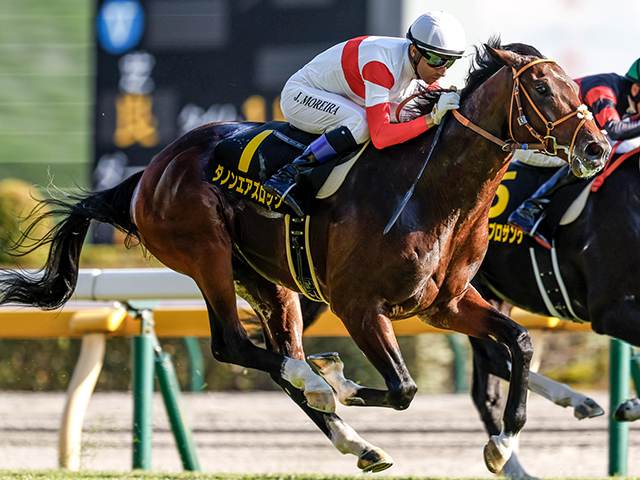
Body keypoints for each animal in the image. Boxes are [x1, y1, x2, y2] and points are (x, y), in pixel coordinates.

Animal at [0, 38, 608, 472]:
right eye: (544, 89)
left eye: (572, 85)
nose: (597, 147)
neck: (434, 192)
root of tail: (150, 172)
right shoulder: (358, 305)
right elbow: (404, 389)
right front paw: (339, 379)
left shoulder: (445, 305)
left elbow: (520, 343)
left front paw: (502, 444)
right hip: (207, 255)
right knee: (234, 345)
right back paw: (318, 381)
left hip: (268, 281)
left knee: (270, 355)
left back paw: (355, 440)